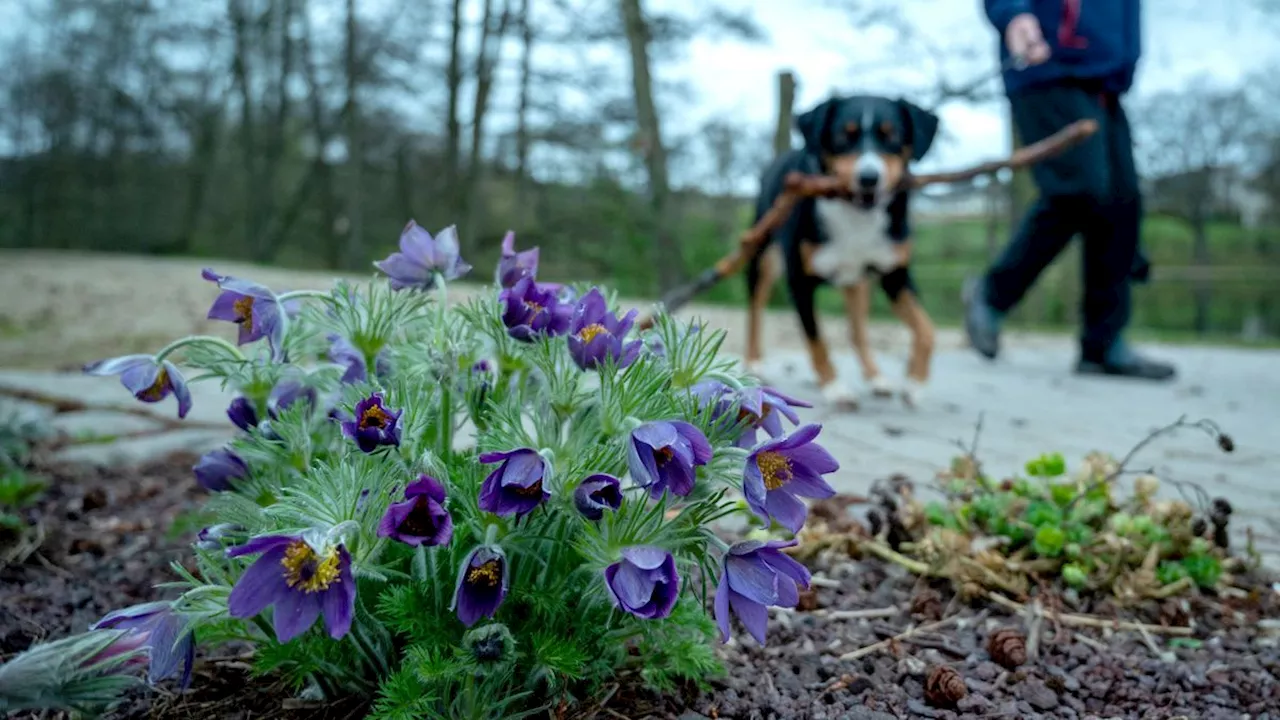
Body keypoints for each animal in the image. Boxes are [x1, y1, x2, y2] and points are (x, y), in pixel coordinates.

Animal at [742, 94, 942, 407]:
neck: (856, 216)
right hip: (762, 257)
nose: (869, 177)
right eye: (842, 136)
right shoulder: (800, 281)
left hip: (858, 283)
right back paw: (753, 362)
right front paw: (834, 386)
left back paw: (876, 378)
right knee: (755, 310)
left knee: (857, 332)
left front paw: (915, 382)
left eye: (892, 135)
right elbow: (816, 340)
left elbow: (926, 330)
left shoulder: (895, 276)